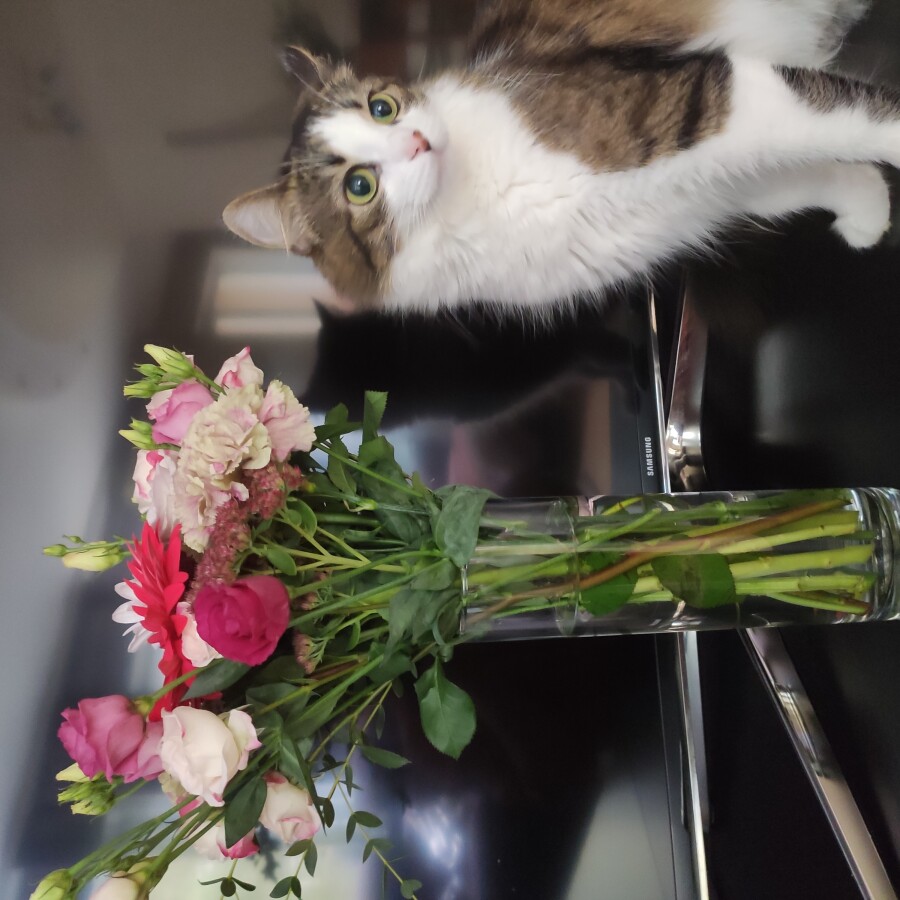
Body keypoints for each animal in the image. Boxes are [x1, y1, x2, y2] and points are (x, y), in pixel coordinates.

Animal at [222, 0, 893, 314]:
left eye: (381, 108)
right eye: (360, 187)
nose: (417, 142)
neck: (475, 198)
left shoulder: (697, 99)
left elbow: (863, 119)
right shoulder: (713, 184)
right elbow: (811, 173)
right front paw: (867, 214)